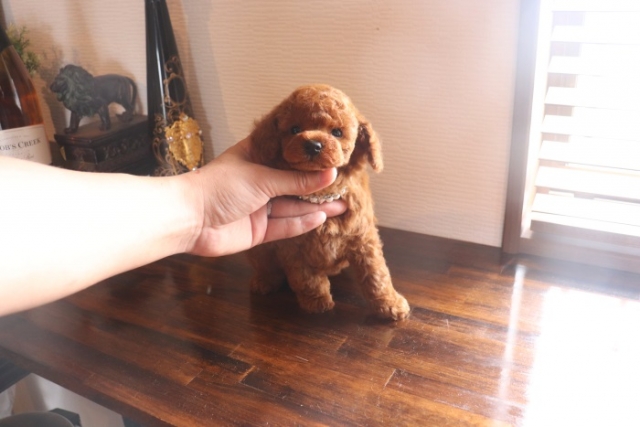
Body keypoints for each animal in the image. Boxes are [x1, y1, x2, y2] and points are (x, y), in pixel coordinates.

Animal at [247, 84, 410, 320]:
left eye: (337, 133)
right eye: (294, 129)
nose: (313, 144)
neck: (322, 194)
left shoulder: (363, 237)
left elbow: (376, 274)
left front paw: (390, 304)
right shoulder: (293, 246)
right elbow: (305, 278)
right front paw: (317, 302)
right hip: (260, 248)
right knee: (265, 265)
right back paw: (263, 282)